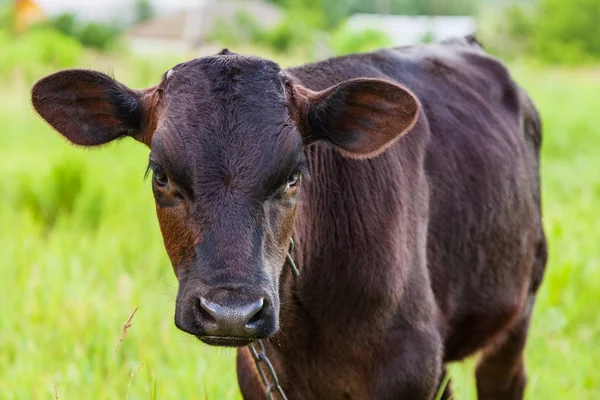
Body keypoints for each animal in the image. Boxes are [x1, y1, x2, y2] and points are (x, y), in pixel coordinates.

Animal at [34, 36, 548, 398]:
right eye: (160, 174)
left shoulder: (408, 367)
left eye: (294, 175)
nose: (231, 313)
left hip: (518, 309)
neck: (308, 328)